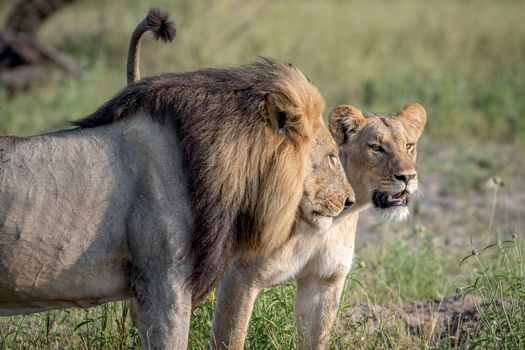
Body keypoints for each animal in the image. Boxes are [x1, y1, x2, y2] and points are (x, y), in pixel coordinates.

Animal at [210, 102, 426, 348]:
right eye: (376, 148)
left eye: (409, 146)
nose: (408, 177)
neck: (328, 222)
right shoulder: (239, 277)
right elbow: (230, 339)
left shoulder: (324, 280)